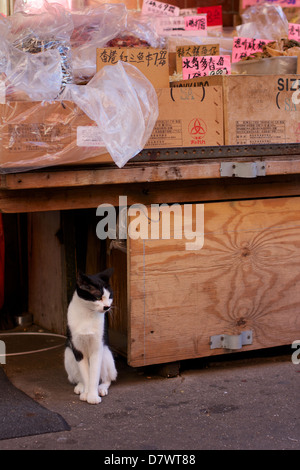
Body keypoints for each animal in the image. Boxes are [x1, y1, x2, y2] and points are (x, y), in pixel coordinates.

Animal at [63, 268, 116, 404]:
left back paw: (101, 388)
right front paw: (87, 393)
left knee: (107, 378)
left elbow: (94, 375)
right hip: (69, 355)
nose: (107, 307)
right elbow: (86, 375)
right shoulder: (78, 349)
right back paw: (81, 387)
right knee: (78, 377)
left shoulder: (97, 348)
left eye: (110, 297)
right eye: (98, 297)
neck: (87, 313)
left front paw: (92, 395)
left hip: (106, 355)